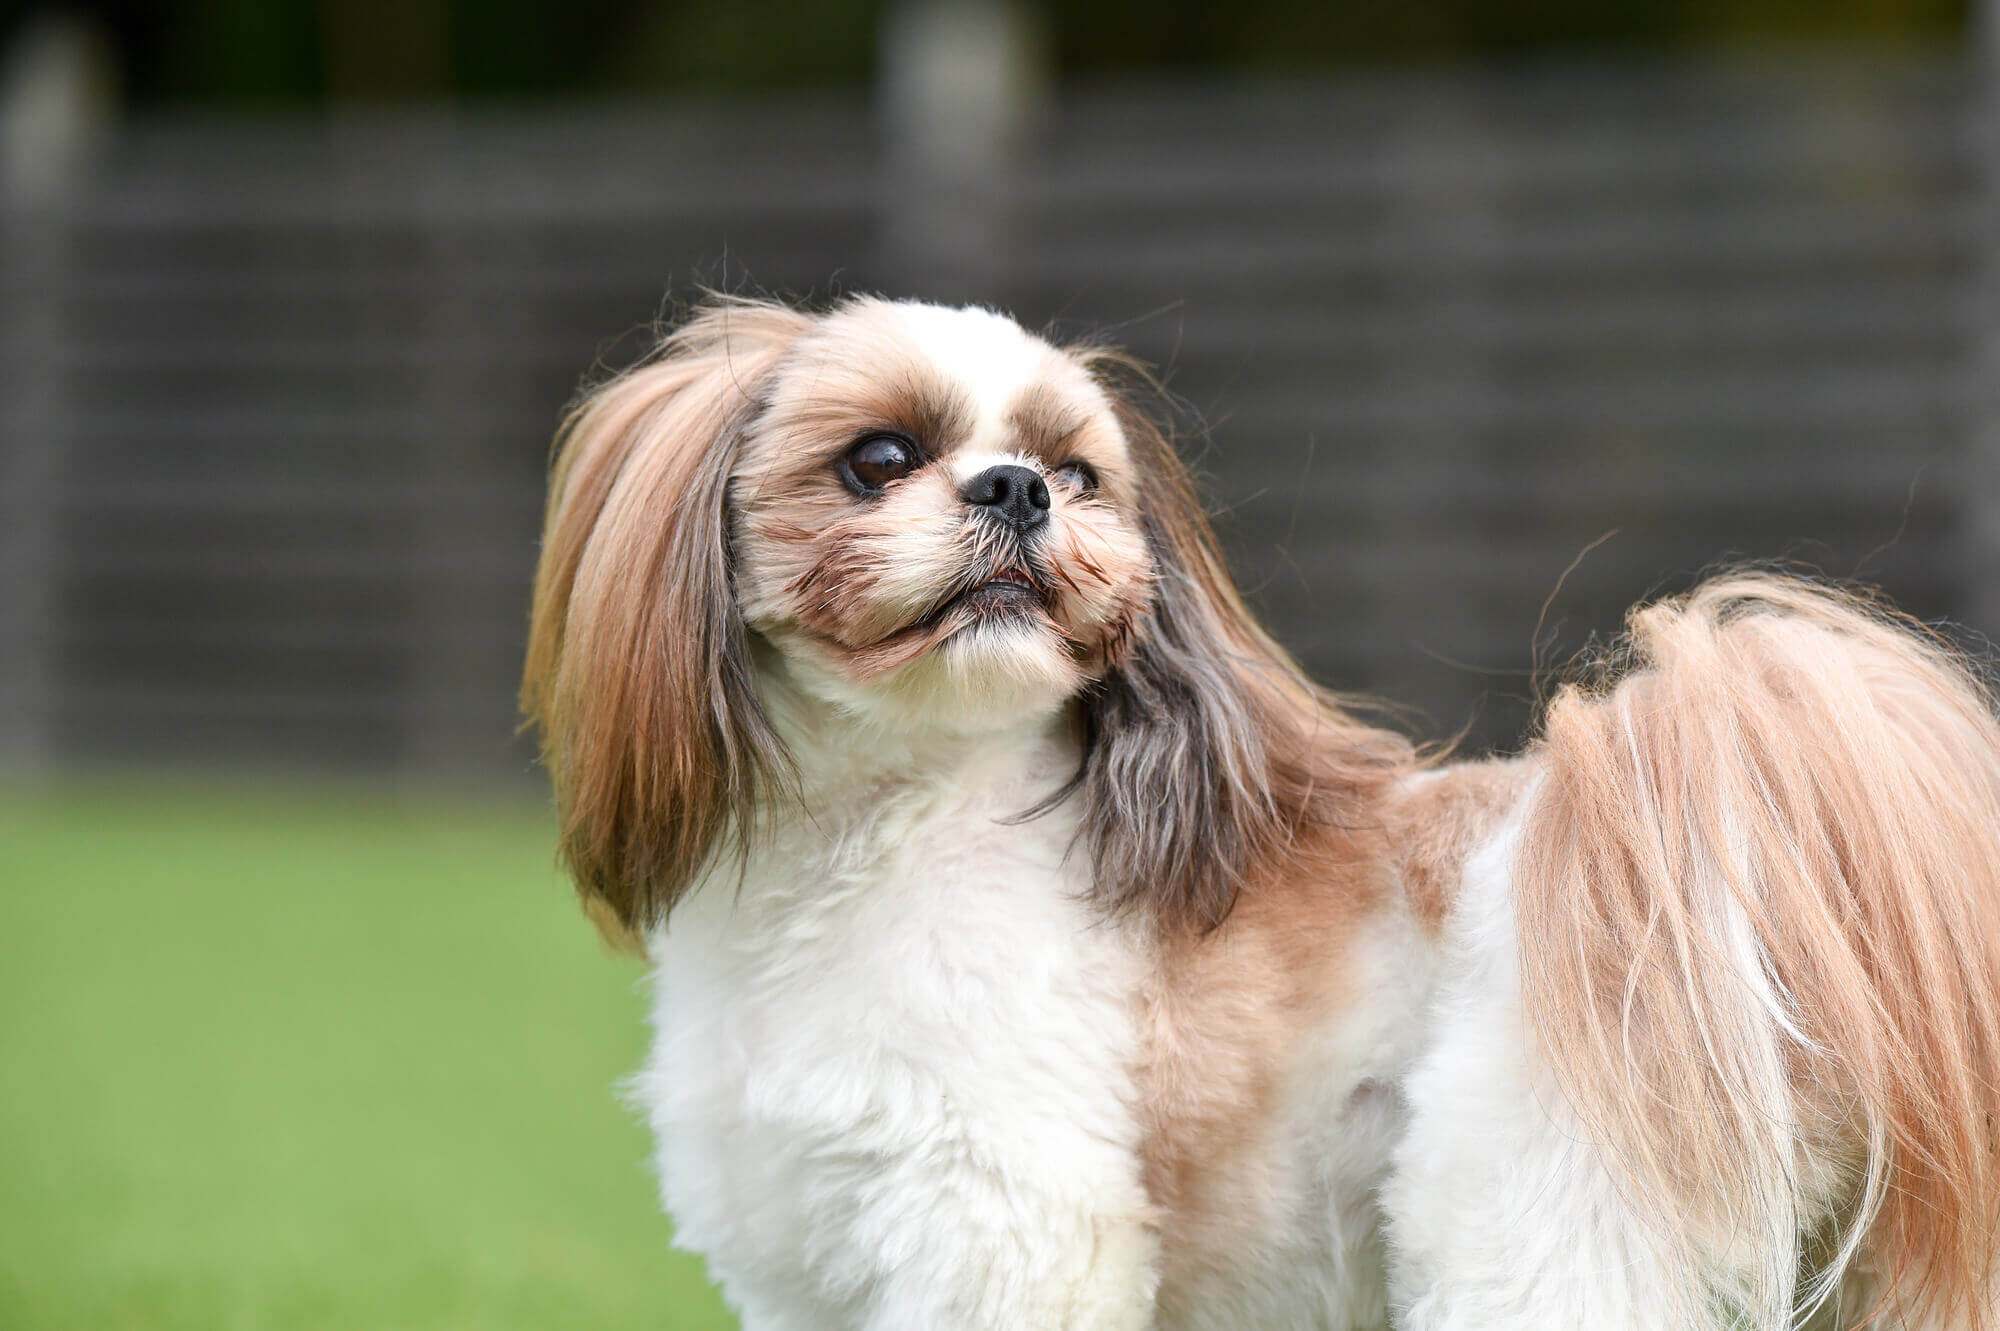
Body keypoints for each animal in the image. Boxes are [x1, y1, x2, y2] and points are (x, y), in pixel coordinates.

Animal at [520, 295, 2000, 1319]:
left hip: (1533, 1219)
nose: (1017, 486)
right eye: (878, 458)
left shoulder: (1001, 1228)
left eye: (1077, 470)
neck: (887, 832)